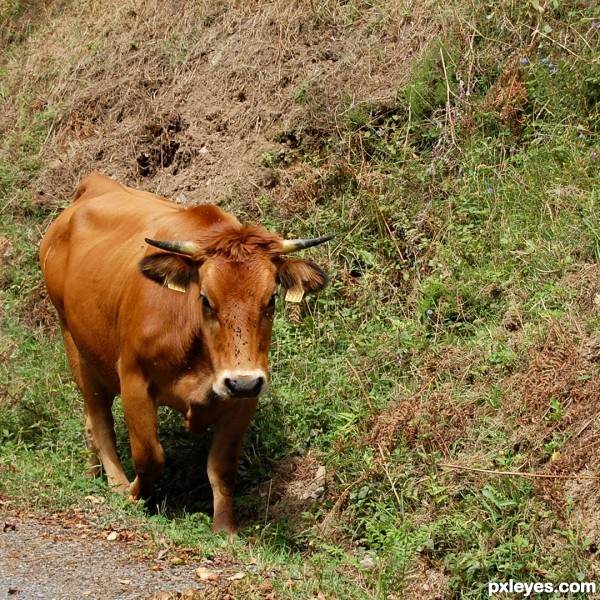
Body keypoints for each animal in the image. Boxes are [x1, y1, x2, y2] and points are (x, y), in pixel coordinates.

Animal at [41, 172, 332, 536]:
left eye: (271, 299)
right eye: (205, 298)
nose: (241, 381)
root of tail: (95, 184)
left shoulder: (245, 397)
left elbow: (222, 468)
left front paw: (226, 529)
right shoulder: (134, 380)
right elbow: (149, 456)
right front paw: (134, 495)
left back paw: (94, 471)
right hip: (75, 346)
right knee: (99, 421)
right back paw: (116, 484)